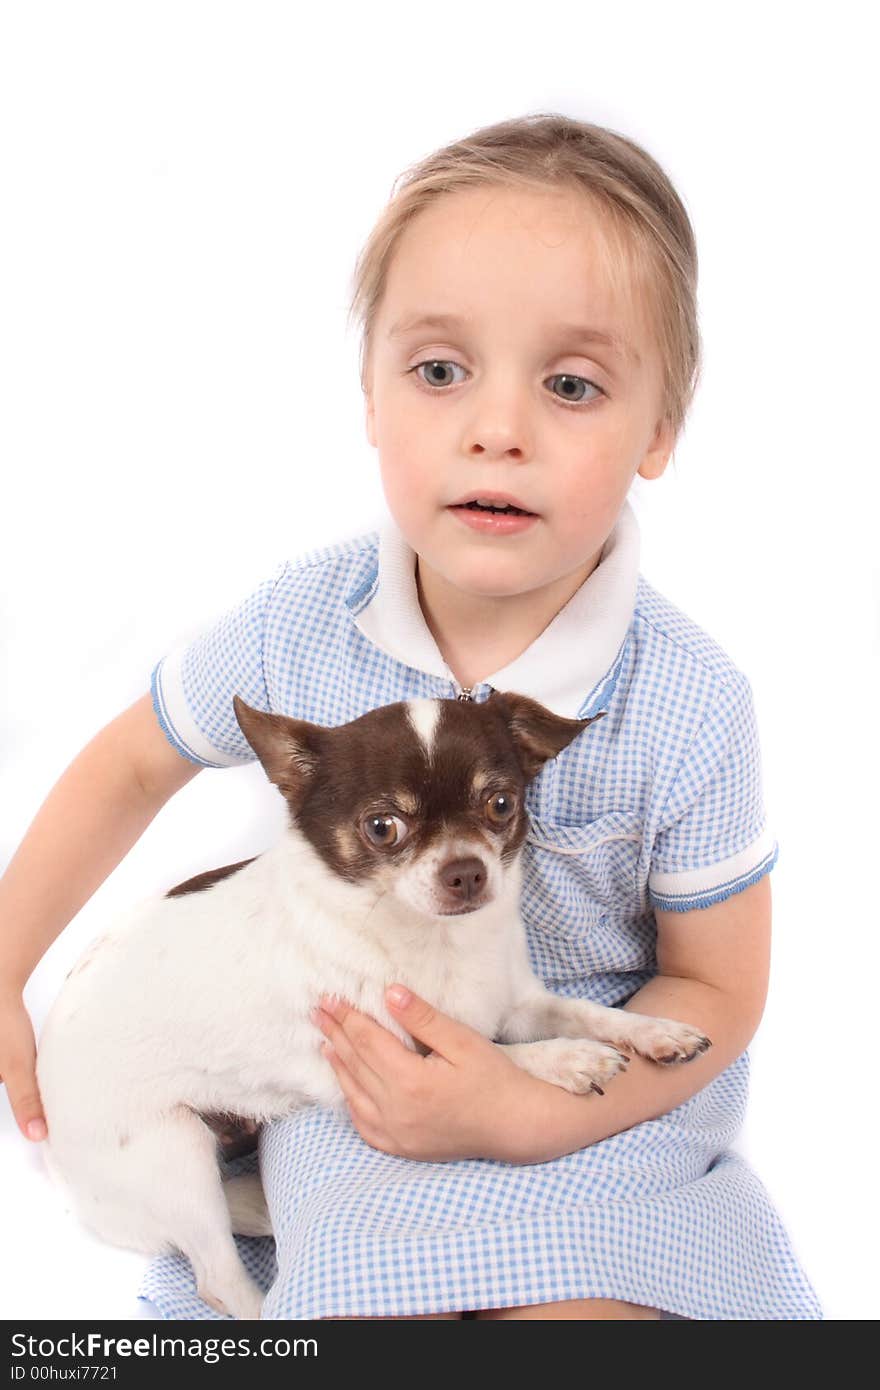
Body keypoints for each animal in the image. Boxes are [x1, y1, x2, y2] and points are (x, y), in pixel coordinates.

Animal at [37, 689, 711, 1317]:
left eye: (500, 804)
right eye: (383, 826)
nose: (466, 871)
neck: (435, 942)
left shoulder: (516, 1005)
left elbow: (587, 1014)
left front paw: (655, 1031)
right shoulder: (396, 1056)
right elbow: (498, 1059)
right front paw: (571, 1059)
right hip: (174, 1157)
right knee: (218, 1278)